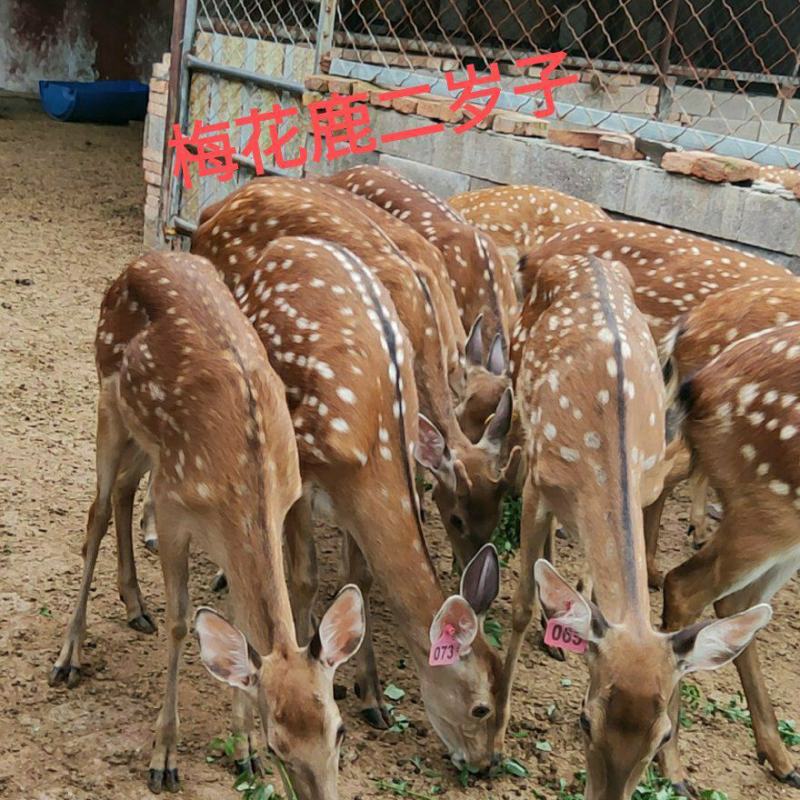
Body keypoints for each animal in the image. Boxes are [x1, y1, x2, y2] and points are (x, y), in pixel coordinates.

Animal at [48, 252, 366, 799]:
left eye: (339, 730)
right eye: (279, 746)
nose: (264, 750)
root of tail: (142, 259)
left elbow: (239, 632)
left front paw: (241, 751)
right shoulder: (175, 511)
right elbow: (181, 624)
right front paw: (164, 757)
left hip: (147, 442)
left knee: (123, 492)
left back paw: (135, 605)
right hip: (108, 402)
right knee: (96, 514)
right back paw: (69, 656)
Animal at [223, 235, 508, 767]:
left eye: (508, 698)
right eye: (480, 707)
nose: (487, 764)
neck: (372, 454)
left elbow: (362, 579)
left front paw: (372, 696)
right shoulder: (305, 472)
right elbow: (305, 577)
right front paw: (309, 659)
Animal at [499, 253, 771, 799]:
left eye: (664, 733)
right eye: (584, 719)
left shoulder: (646, 484)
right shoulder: (540, 484)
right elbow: (519, 605)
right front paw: (494, 737)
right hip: (519, 395)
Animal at [661, 322, 800, 791]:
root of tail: (699, 385)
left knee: (738, 604)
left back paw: (781, 757)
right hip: (769, 509)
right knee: (683, 585)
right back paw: (672, 767)